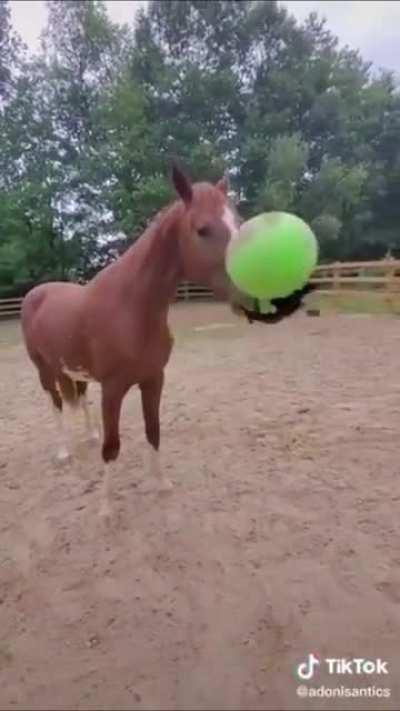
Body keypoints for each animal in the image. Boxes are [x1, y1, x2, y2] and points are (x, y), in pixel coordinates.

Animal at [21, 163, 310, 517]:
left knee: (79, 398)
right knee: (56, 405)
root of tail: (36, 293)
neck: (131, 308)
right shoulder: (113, 390)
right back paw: (63, 452)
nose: (258, 292)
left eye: (239, 223)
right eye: (202, 229)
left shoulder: (154, 379)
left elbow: (153, 431)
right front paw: (106, 509)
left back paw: (88, 435)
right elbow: (112, 446)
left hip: (73, 369)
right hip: (45, 370)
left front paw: (160, 484)